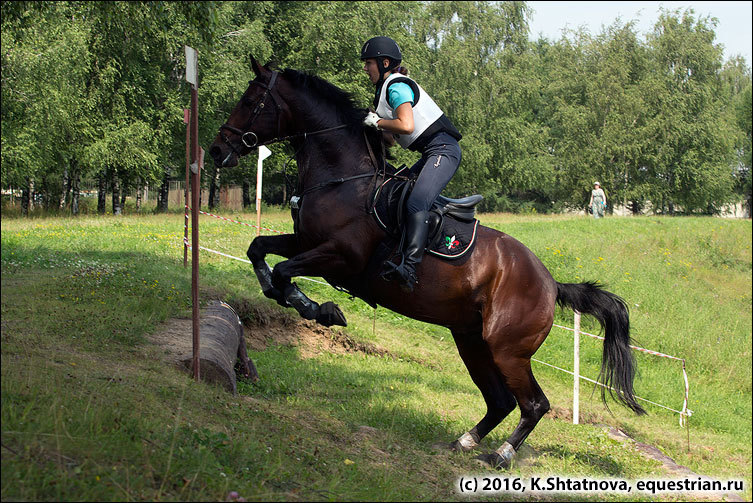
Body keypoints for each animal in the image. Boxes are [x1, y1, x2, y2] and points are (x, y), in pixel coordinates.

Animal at [209, 57, 644, 470]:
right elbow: (258, 249)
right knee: (500, 400)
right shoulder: (306, 242)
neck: (343, 180)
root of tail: (551, 284)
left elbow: (285, 271)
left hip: (508, 350)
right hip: (471, 341)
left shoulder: (340, 256)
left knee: (534, 404)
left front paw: (319, 309)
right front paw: (285, 294)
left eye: (250, 101)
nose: (216, 149)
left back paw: (502, 454)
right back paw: (464, 441)